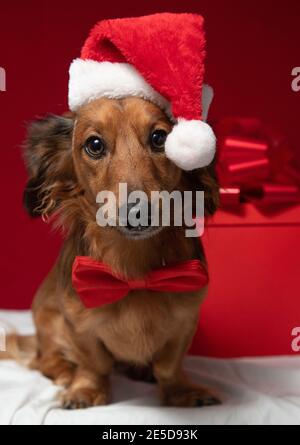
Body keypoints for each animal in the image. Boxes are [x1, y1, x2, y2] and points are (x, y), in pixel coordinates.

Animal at [1, 95, 219, 408]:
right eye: (94, 144)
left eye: (160, 138)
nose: (138, 212)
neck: (133, 268)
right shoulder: (77, 325)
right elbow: (93, 363)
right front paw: (86, 389)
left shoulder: (185, 321)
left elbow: (168, 366)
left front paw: (180, 391)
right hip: (48, 321)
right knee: (46, 360)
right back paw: (65, 372)